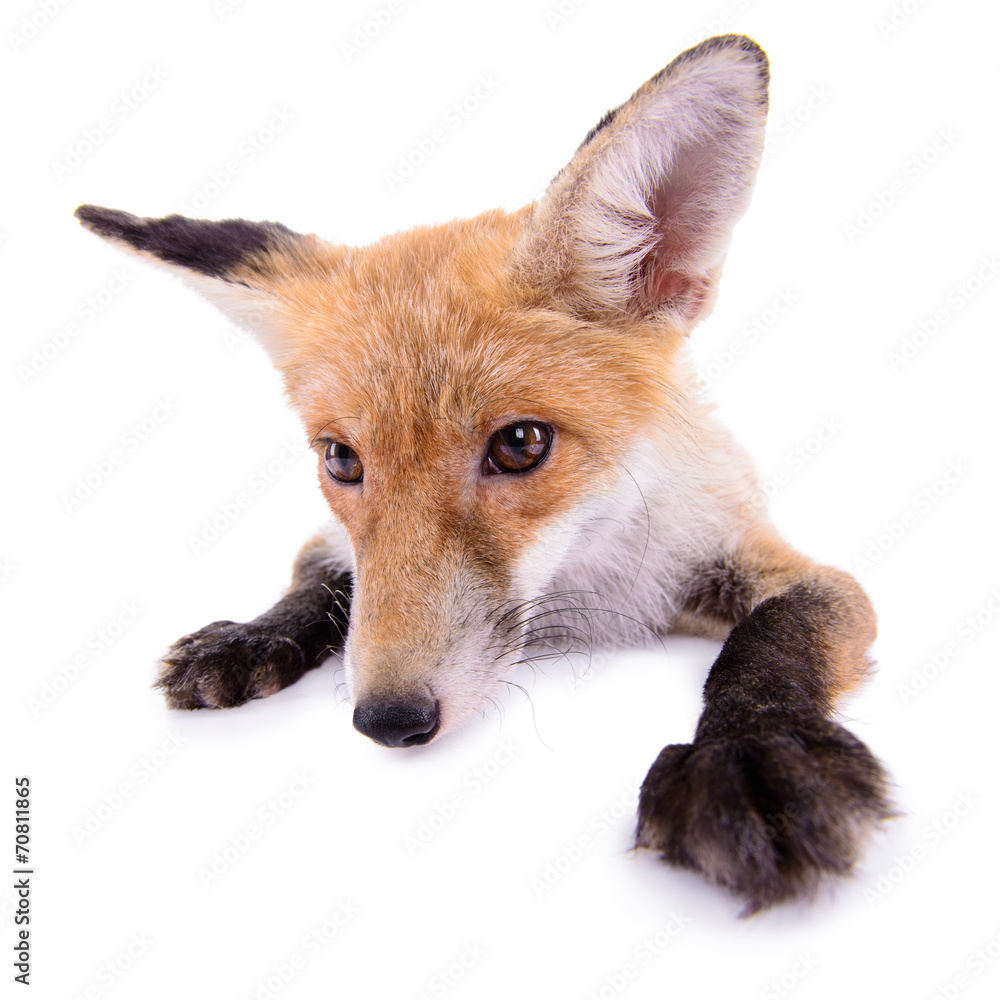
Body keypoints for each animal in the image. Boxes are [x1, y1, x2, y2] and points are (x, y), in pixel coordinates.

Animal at [74, 34, 892, 914]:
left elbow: (773, 636)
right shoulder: (334, 532)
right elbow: (325, 573)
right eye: (341, 459)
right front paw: (256, 634)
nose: (388, 719)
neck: (589, 578)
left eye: (521, 444)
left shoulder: (769, 555)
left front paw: (754, 753)